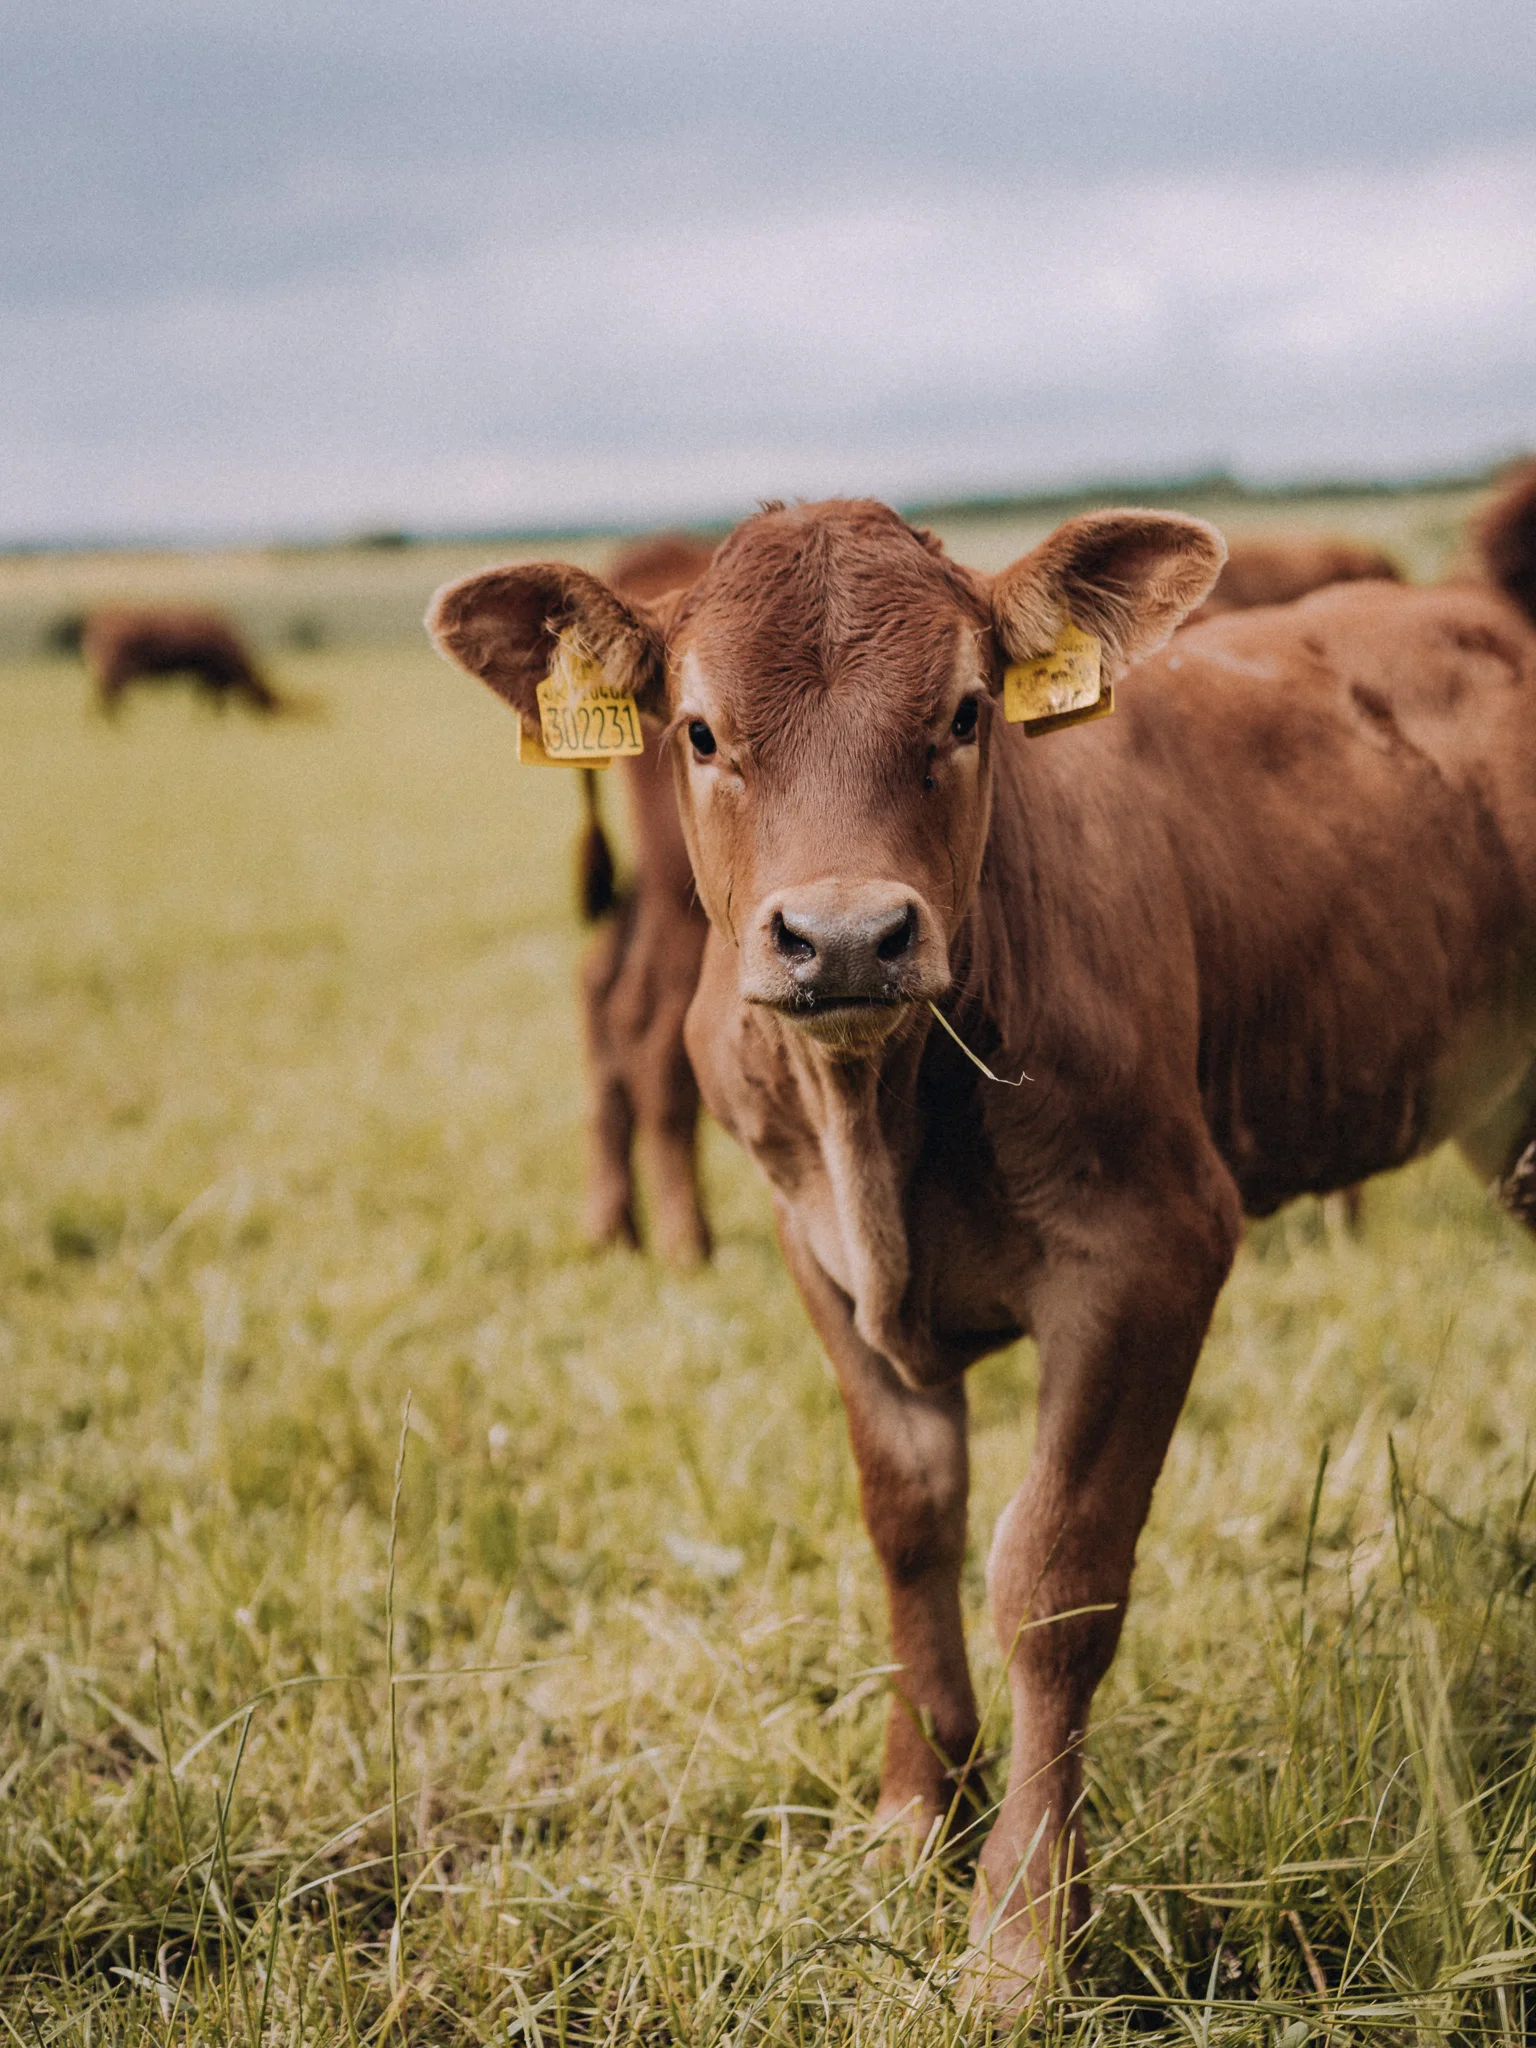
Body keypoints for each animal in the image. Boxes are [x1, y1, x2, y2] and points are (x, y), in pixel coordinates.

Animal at [82, 606, 282, 714]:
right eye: (269, 701)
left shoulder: (207, 676)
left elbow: (205, 699)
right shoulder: (212, 674)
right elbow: (213, 701)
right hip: (116, 667)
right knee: (108, 695)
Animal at [427, 461, 1536, 2009]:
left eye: (962, 713)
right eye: (699, 730)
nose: (843, 937)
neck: (880, 1117)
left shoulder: (1152, 1248)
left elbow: (1052, 1575)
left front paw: (1020, 1923)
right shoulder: (818, 1257)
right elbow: (912, 1524)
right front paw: (912, 1818)